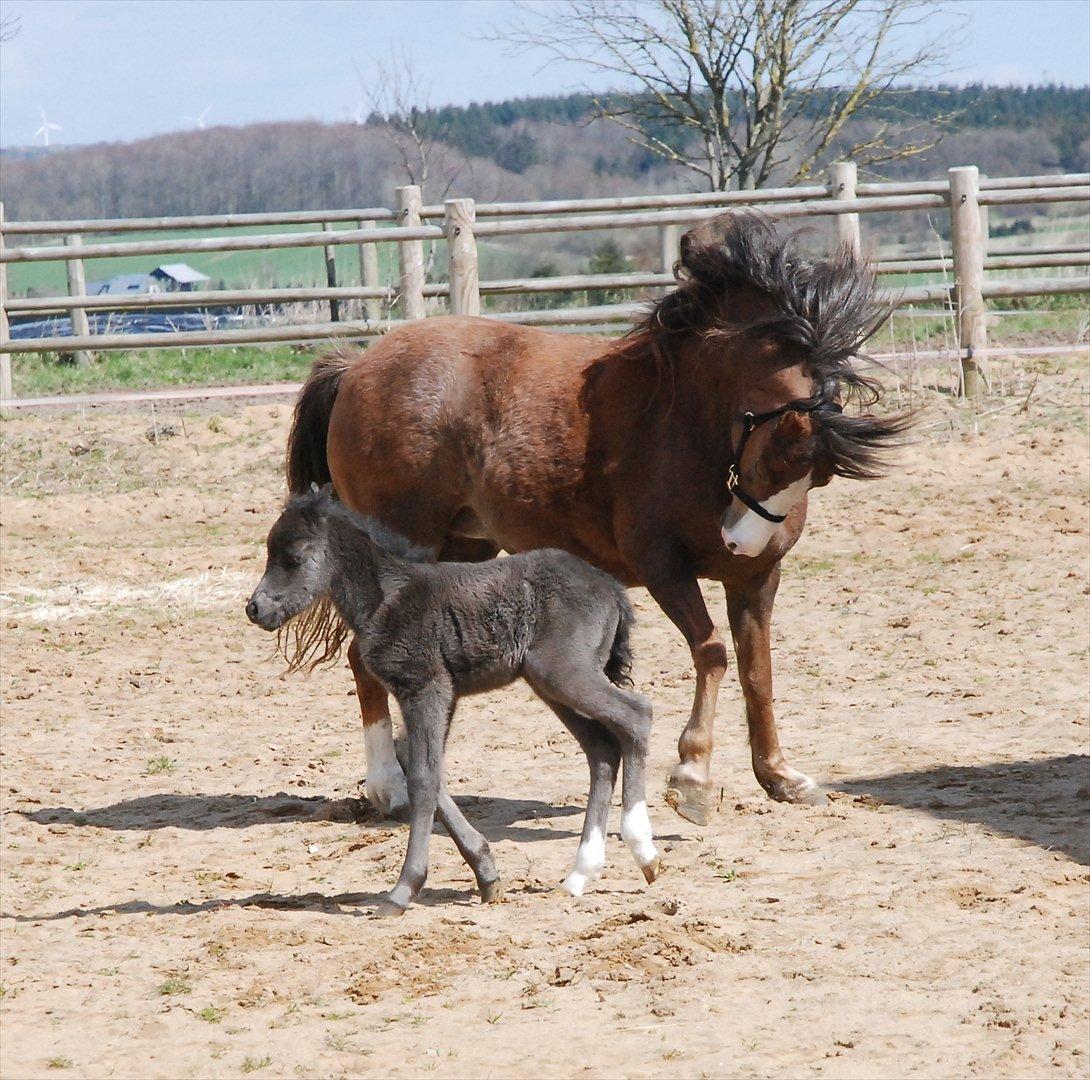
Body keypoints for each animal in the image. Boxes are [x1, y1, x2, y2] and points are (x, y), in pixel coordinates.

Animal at [247, 486, 654, 915]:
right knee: (602, 748)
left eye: (293, 557)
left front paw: (403, 889)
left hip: (564, 673)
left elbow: (424, 779)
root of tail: (610, 587)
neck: (385, 598)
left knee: (636, 715)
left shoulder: (427, 687)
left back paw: (642, 848)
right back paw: (579, 874)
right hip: (549, 682)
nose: (256, 608)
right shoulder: (437, 695)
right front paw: (487, 874)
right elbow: (421, 765)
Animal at [276, 211, 906, 823]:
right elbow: (711, 652)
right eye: (780, 452)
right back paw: (391, 788)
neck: (685, 417)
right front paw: (693, 778)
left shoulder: (756, 577)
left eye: (817, 477)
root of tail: (358, 365)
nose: (739, 540)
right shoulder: (663, 568)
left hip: (463, 548)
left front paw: (780, 777)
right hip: (408, 541)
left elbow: (758, 670)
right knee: (363, 657)